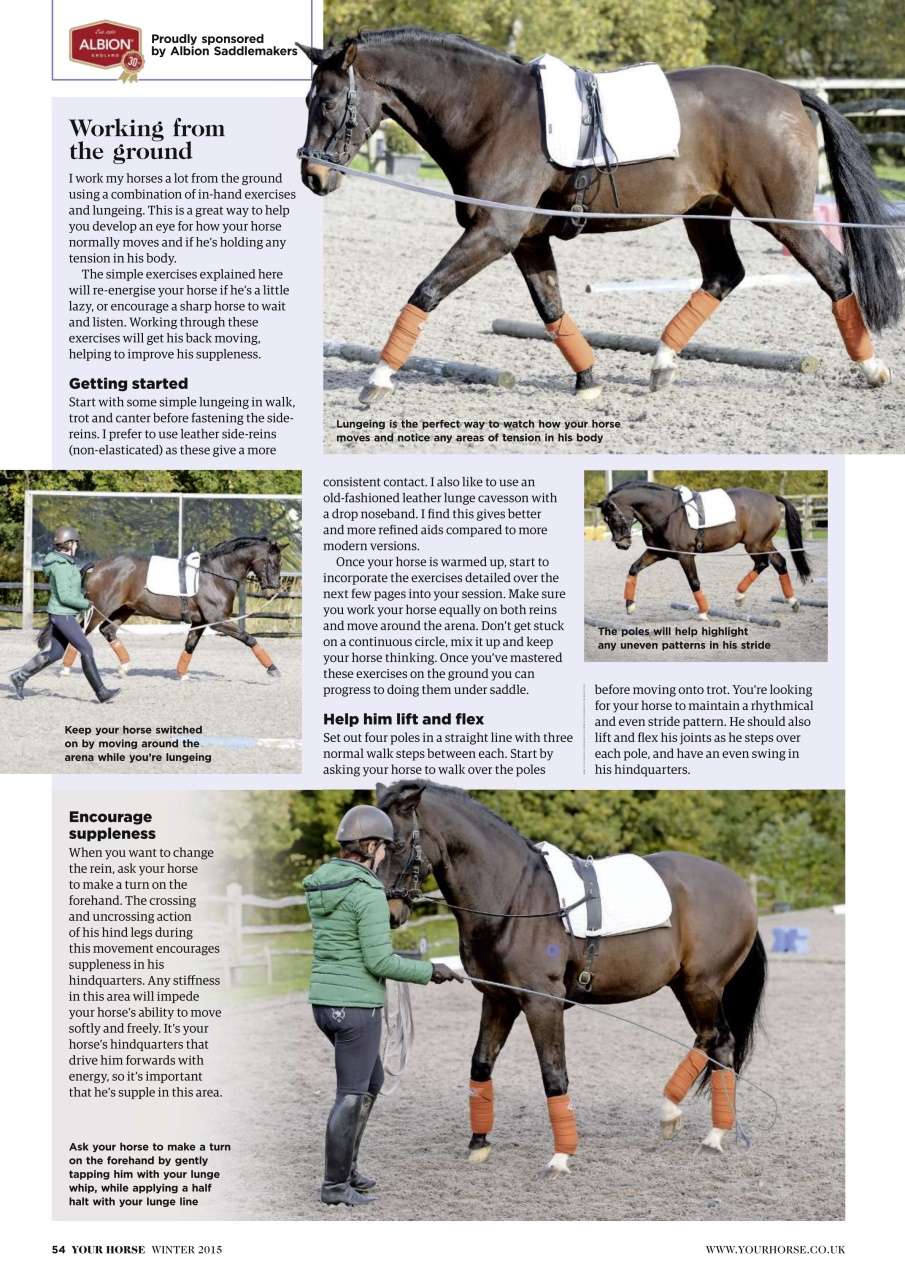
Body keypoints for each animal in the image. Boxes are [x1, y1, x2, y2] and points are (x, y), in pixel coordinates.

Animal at [40, 536, 288, 681]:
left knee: (107, 631)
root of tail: (99, 565)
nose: (272, 592)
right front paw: (273, 669)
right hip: (100, 608)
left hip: (125, 609)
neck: (216, 573)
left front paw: (182, 674)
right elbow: (249, 638)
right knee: (82, 632)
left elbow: (189, 646)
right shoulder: (218, 620)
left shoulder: (200, 621)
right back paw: (66, 668)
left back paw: (124, 667)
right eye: (274, 563)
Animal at [299, 28, 901, 406]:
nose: (313, 177)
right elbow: (551, 309)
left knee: (833, 273)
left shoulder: (493, 233)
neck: (489, 112)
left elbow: (425, 292)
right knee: (724, 274)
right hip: (706, 212)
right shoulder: (525, 239)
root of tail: (791, 92)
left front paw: (378, 379)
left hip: (783, 217)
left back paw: (872, 369)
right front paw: (589, 379)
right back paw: (661, 364)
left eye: (326, 102)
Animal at [376, 780, 766, 1176]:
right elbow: (482, 1063)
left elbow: (553, 1073)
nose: (388, 912)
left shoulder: (542, 1003)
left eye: (397, 844)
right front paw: (479, 1144)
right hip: (687, 988)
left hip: (701, 986)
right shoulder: (499, 998)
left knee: (712, 1038)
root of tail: (737, 885)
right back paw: (713, 1134)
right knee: (720, 1043)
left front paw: (561, 1157)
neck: (513, 898)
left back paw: (676, 1116)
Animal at [597, 481, 813, 618]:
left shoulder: (685, 556)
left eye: (613, 517)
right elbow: (634, 569)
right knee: (779, 563)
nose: (622, 544)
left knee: (763, 563)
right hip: (763, 543)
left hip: (755, 545)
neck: (666, 512)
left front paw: (703, 613)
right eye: (605, 520)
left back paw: (740, 596)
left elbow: (694, 582)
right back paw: (790, 601)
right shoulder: (657, 553)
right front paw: (629, 606)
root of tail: (770, 497)